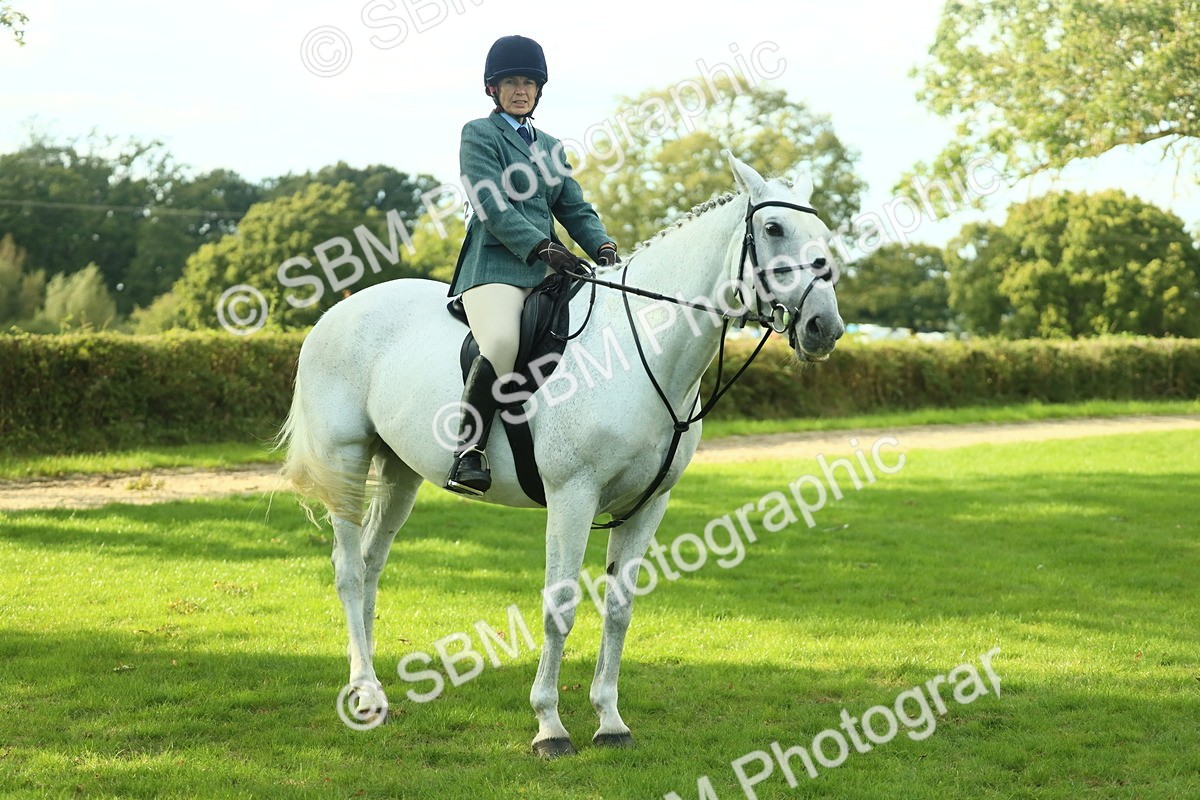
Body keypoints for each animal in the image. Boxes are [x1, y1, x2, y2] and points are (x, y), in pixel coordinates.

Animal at [276, 152, 844, 757]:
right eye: (773, 228)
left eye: (825, 236)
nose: (824, 327)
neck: (638, 348)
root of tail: (335, 314)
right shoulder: (573, 496)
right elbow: (561, 605)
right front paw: (549, 726)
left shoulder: (649, 505)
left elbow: (619, 607)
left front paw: (610, 720)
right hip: (346, 460)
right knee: (348, 571)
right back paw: (365, 694)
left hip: (401, 471)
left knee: (370, 563)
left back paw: (373, 685)